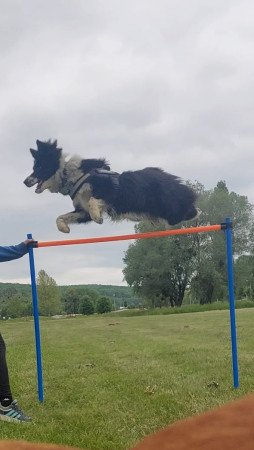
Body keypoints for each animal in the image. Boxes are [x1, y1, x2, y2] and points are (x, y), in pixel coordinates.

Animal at [23, 140, 198, 232]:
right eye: (34, 167)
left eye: (39, 167)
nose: (25, 182)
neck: (70, 175)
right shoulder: (82, 210)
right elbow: (61, 216)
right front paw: (64, 228)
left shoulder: (110, 192)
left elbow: (94, 201)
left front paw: (98, 217)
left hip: (169, 205)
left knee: (188, 210)